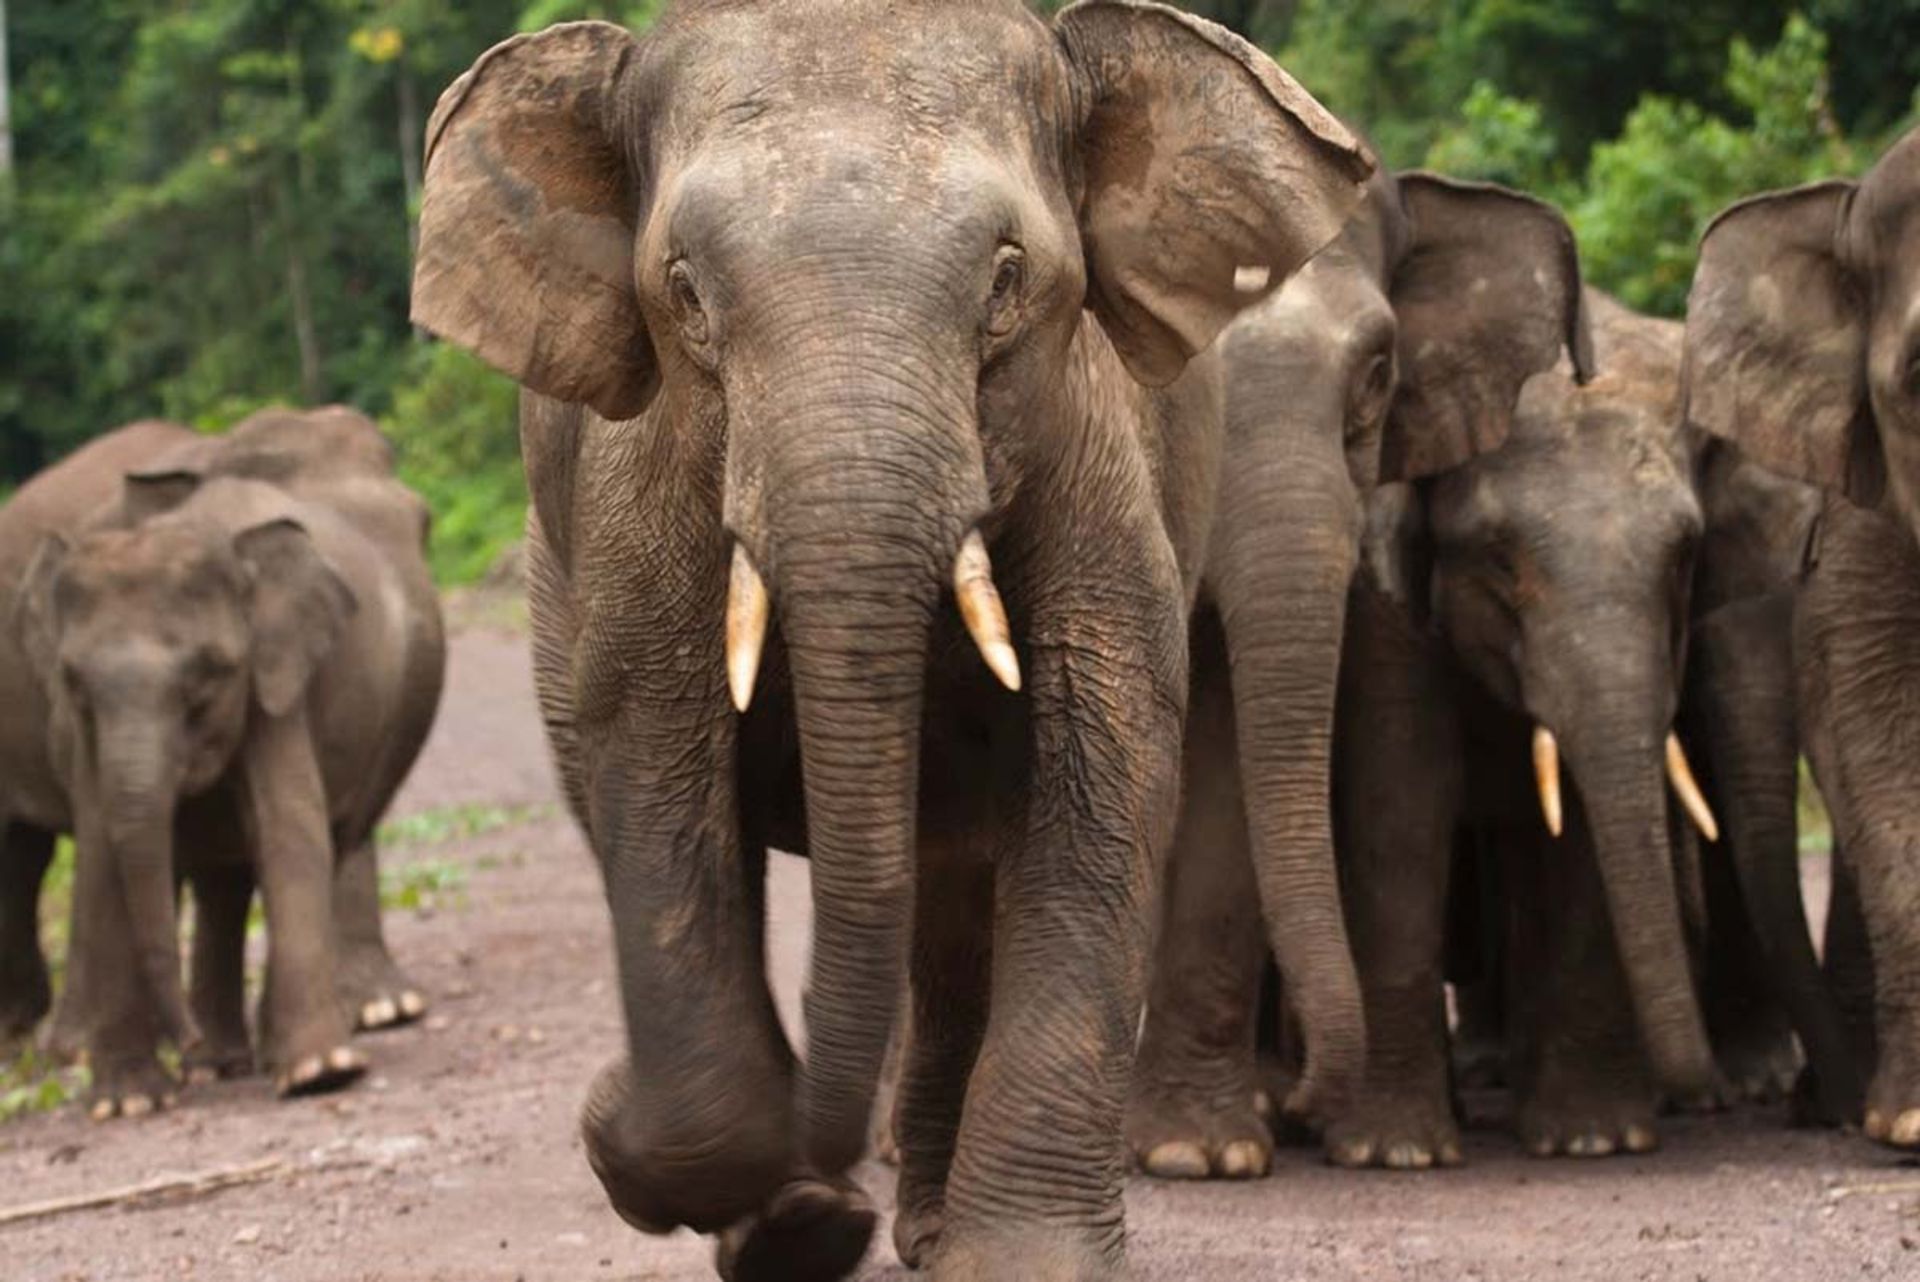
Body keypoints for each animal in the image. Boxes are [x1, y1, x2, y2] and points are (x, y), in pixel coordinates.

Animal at [1, 408, 441, 1113]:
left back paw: (241, 1053)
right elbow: (101, 853)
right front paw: (128, 1102)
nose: (185, 1043)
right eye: (73, 680)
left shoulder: (277, 676)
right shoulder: (76, 725)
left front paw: (321, 1070)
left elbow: (288, 827)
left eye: (210, 675)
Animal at [401, 0, 1367, 1274]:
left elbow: (1102, 766)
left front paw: (1020, 1263)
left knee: (949, 905)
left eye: (1007, 276)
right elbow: (654, 770)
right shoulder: (635, 495)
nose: (824, 1151)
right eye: (686, 291)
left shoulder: (1096, 449)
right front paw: (711, 1173)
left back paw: (915, 1222)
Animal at [1320, 287, 1728, 1159]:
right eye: (1498, 556)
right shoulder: (1386, 593)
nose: (1697, 1092)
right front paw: (1396, 1154)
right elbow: (1404, 795)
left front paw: (1595, 1141)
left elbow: (1580, 828)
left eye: (1685, 555)